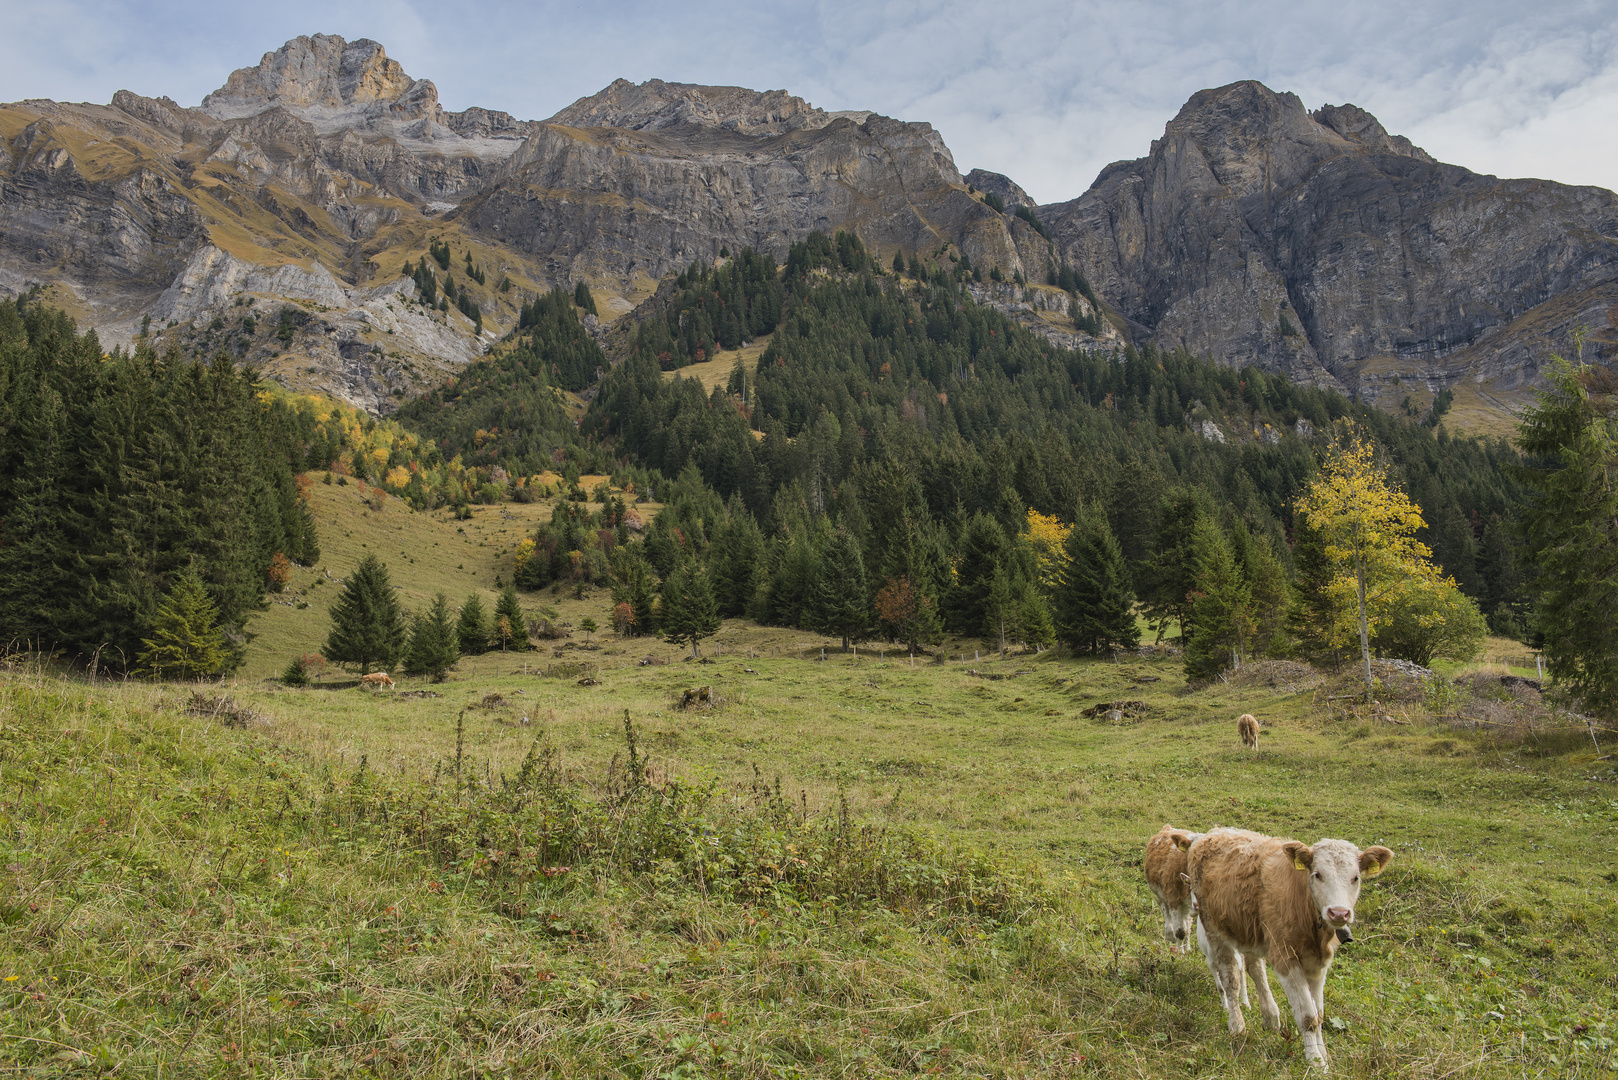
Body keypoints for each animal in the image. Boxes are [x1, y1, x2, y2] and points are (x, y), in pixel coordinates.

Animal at [1184, 829, 1397, 1075]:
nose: (1338, 913)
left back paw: (1270, 1018)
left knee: (1256, 968)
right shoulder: (1286, 957)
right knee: (1231, 978)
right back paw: (1237, 1025)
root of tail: (1215, 832)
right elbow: (1307, 1016)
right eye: (1317, 874)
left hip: (1249, 929)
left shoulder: (1318, 966)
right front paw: (1316, 1061)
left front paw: (1324, 1054)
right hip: (1214, 928)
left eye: (1356, 878)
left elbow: (1319, 1014)